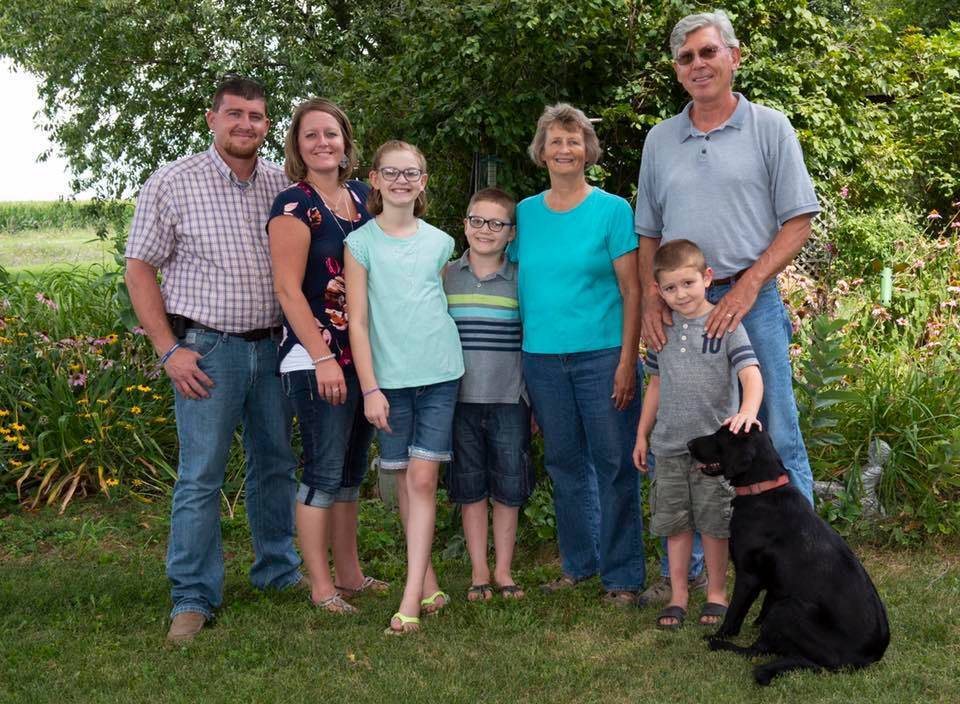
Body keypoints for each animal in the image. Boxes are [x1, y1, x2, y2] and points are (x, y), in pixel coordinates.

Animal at [688, 426, 888, 684]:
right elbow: (766, 603)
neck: (761, 490)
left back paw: (720, 646)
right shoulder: (775, 582)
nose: (689, 444)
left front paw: (720, 634)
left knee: (756, 651)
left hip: (787, 609)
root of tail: (865, 658)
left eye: (719, 435)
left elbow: (734, 613)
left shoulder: (748, 576)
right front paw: (757, 622)